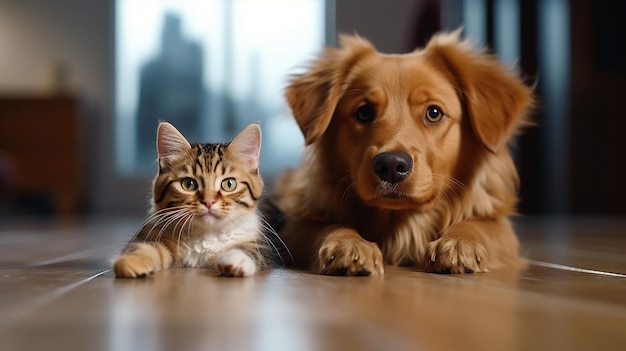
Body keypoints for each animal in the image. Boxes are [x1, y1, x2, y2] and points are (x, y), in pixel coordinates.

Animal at [112, 122, 272, 280]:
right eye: (189, 184)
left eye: (229, 184)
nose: (208, 202)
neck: (206, 235)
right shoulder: (155, 233)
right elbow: (146, 247)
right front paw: (132, 261)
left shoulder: (261, 245)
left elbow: (251, 250)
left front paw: (235, 260)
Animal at [272, 31, 532, 278]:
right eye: (364, 112)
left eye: (434, 113)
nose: (390, 165)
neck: (401, 222)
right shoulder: (297, 226)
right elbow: (328, 226)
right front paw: (348, 244)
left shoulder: (502, 229)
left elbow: (480, 224)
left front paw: (459, 242)